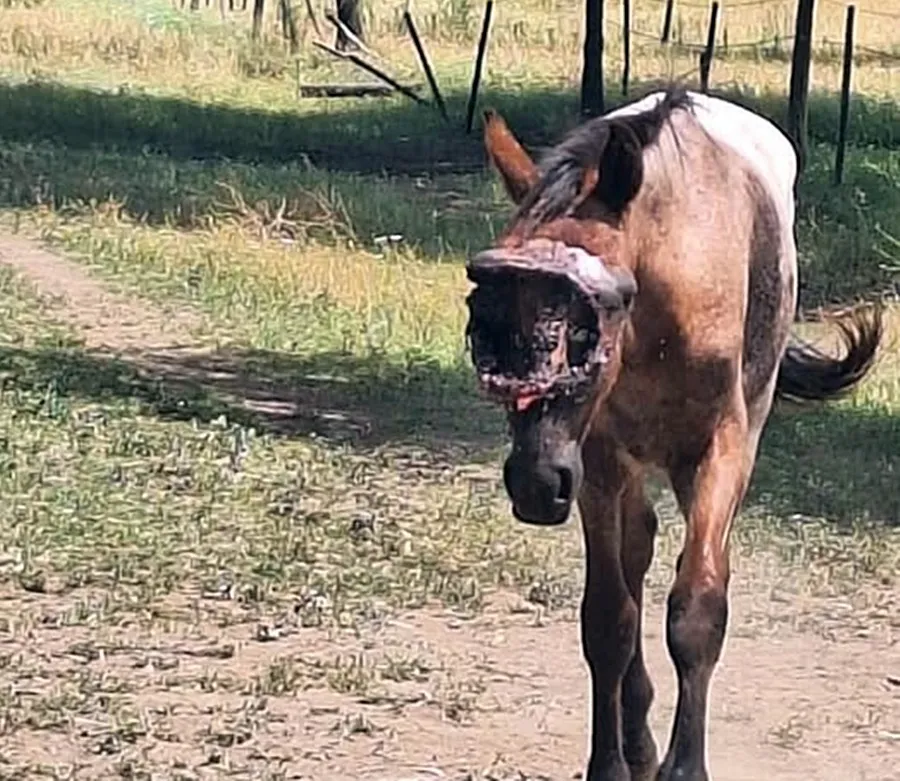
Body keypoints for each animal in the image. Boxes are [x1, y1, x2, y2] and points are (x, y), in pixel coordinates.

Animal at [463, 87, 882, 781]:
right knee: (636, 555)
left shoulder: (721, 451)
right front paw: (610, 762)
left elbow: (697, 610)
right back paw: (636, 738)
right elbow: (609, 617)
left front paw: (686, 767)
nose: (534, 483)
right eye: (486, 316)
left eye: (592, 318)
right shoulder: (597, 460)